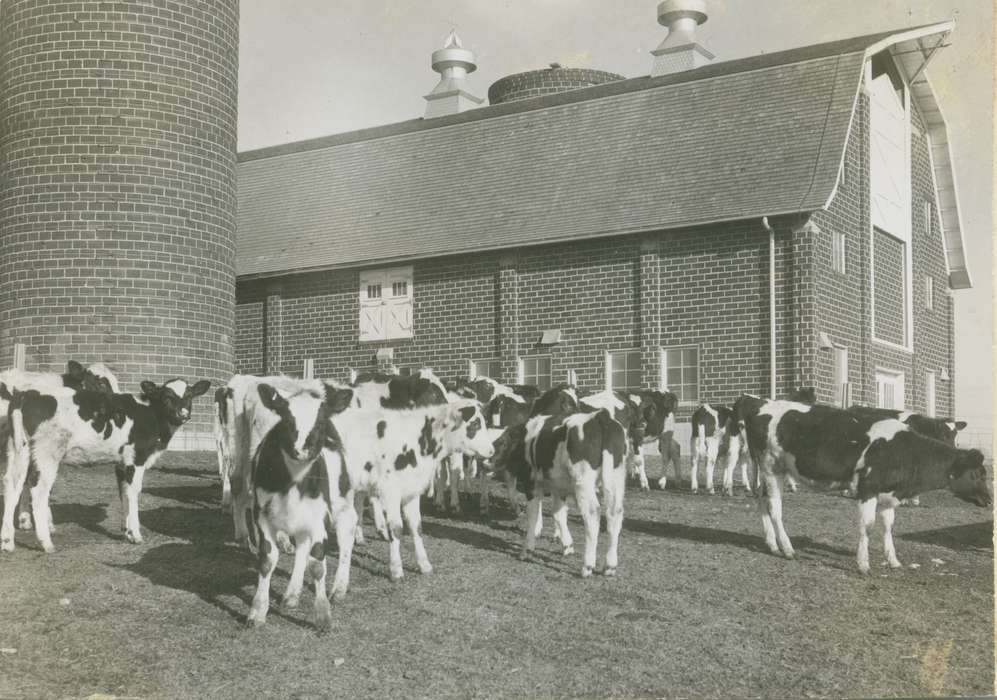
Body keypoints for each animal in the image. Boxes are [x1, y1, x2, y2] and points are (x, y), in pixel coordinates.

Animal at [0, 378, 210, 552]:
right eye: (167, 397)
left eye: (189, 395)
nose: (183, 414)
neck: (152, 414)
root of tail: (26, 393)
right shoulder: (136, 458)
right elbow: (134, 492)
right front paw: (135, 534)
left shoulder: (121, 462)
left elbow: (123, 492)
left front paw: (126, 529)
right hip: (47, 452)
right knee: (38, 490)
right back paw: (46, 542)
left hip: (19, 449)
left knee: (13, 485)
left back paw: (8, 541)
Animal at [242, 380, 354, 632]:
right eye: (286, 420)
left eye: (320, 422)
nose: (303, 449)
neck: (293, 481)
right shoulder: (261, 515)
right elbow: (267, 561)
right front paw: (257, 611)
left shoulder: (321, 517)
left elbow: (318, 564)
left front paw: (323, 615)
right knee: (302, 547)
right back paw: (292, 594)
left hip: (343, 505)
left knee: (346, 539)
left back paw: (339, 588)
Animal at [740, 400, 988, 576]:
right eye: (977, 474)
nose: (988, 499)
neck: (904, 451)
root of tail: (759, 403)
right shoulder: (867, 489)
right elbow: (867, 526)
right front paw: (863, 564)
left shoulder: (889, 495)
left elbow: (888, 527)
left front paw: (893, 561)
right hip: (772, 467)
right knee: (775, 508)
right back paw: (787, 549)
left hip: (768, 471)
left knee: (762, 500)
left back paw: (772, 545)